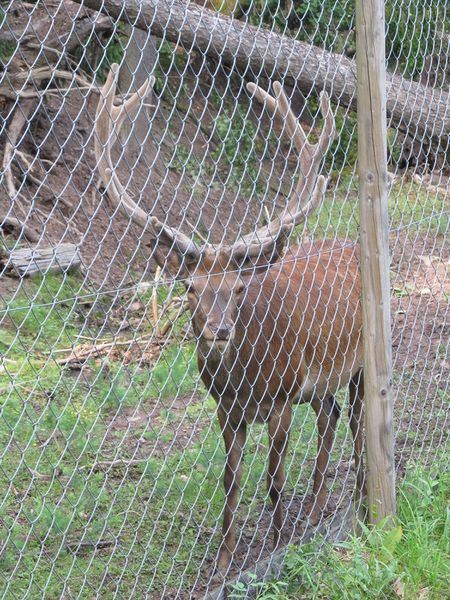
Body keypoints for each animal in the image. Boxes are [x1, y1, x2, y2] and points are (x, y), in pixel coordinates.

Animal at [95, 64, 366, 576]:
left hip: (359, 360)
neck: (244, 380)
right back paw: (316, 509)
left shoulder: (281, 397)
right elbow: (231, 479)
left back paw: (358, 493)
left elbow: (275, 477)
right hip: (316, 381)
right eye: (190, 288)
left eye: (239, 288)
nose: (219, 330)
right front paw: (222, 560)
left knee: (358, 418)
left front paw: (277, 542)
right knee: (331, 414)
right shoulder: (225, 407)